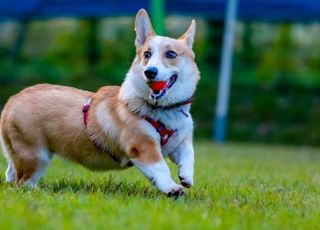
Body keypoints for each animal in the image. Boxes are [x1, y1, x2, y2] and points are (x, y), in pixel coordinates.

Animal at [0, 8, 200, 196]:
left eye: (171, 54)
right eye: (147, 54)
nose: (149, 72)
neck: (164, 109)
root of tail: (12, 99)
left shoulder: (181, 141)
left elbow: (189, 154)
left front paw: (186, 177)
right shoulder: (143, 147)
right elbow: (161, 168)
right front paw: (172, 188)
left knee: (11, 174)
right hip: (35, 156)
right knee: (23, 182)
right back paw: (37, 191)